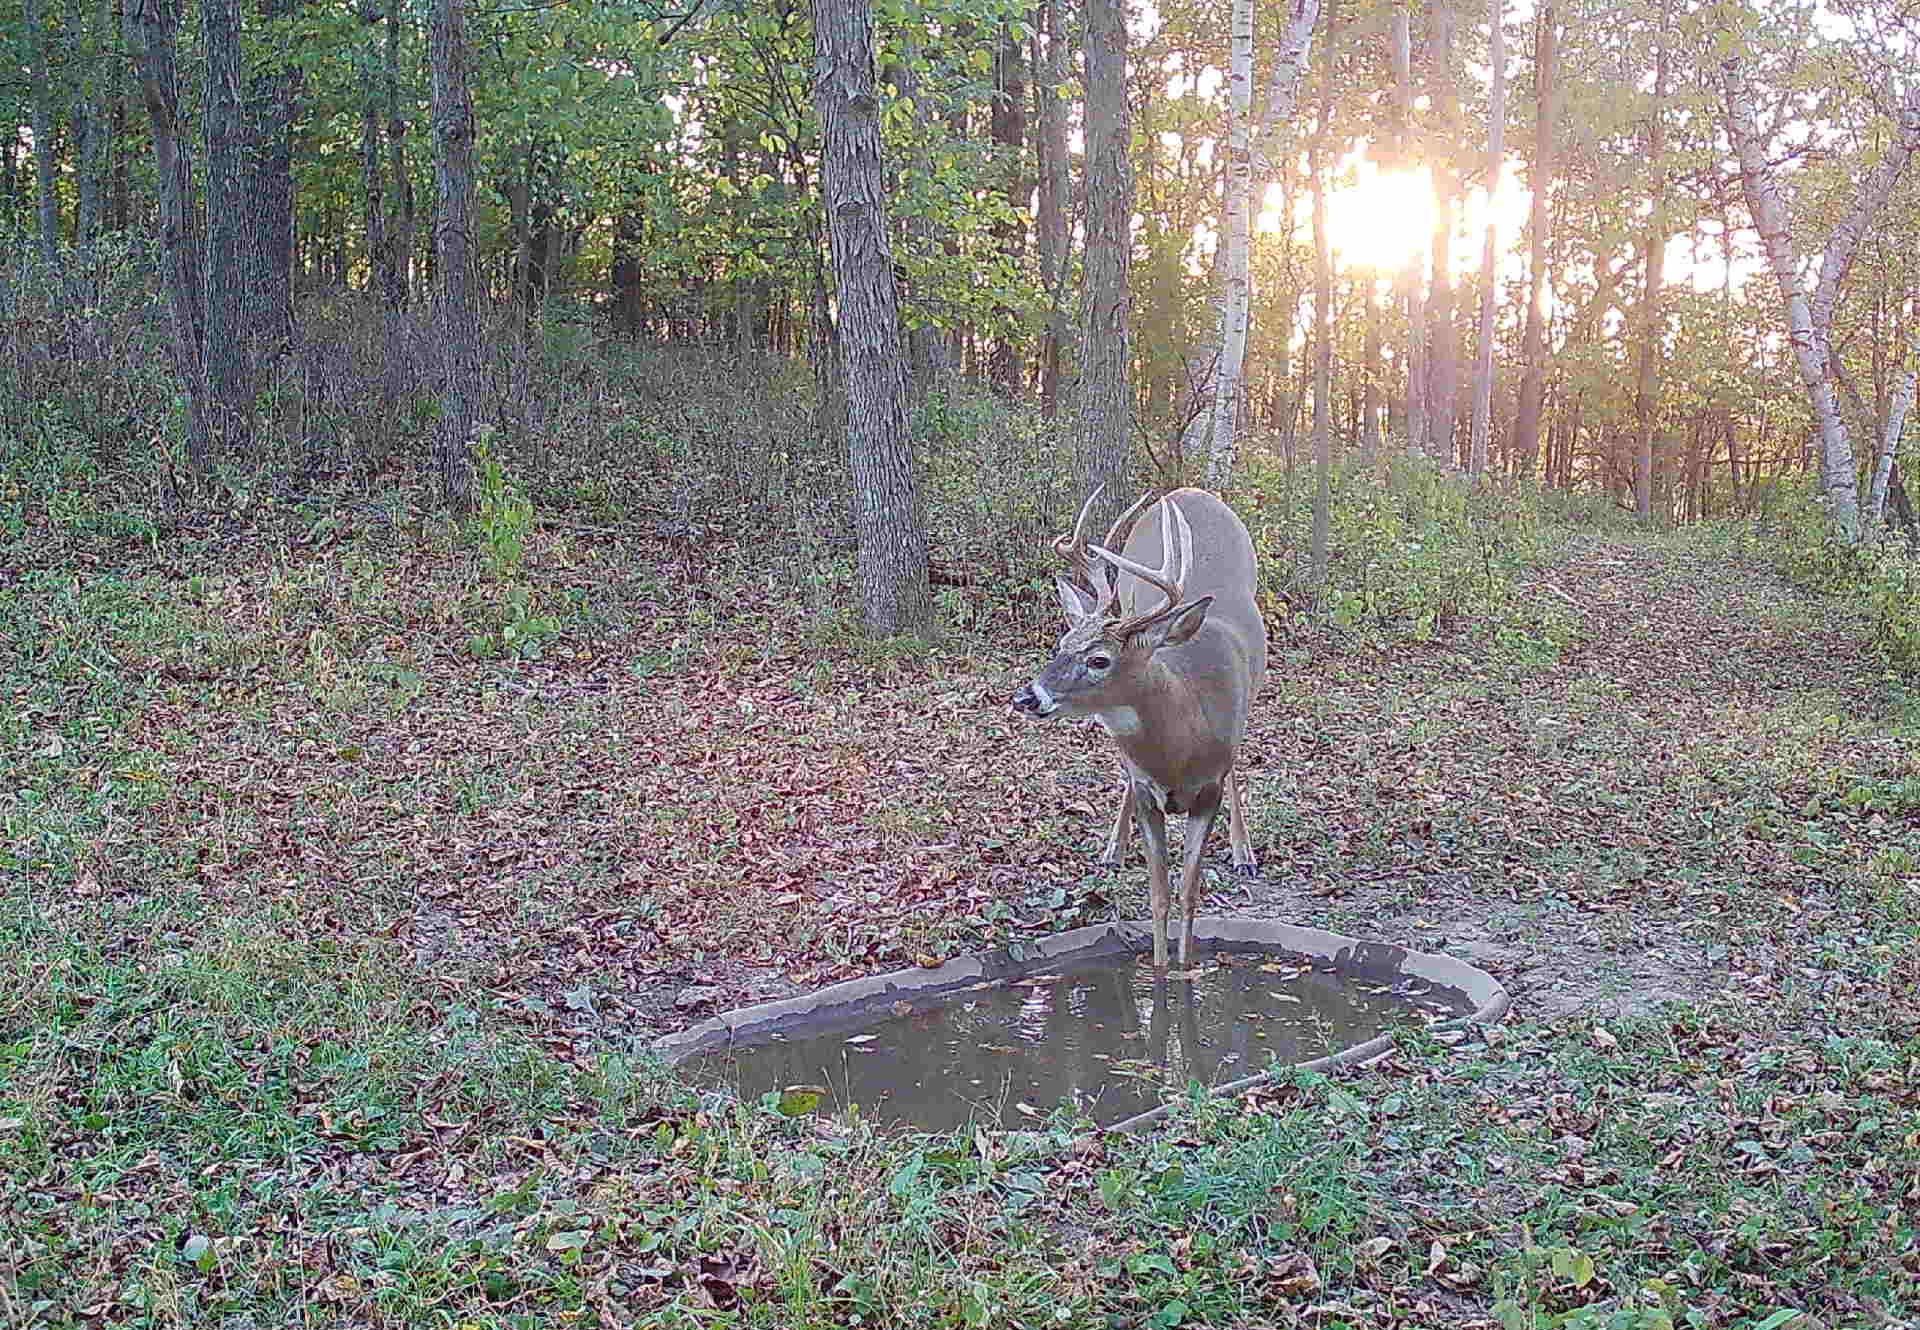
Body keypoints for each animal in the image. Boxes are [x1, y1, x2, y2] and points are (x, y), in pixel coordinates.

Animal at [1011, 486, 1267, 968]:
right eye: (1061, 644)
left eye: (1099, 659)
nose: (1026, 697)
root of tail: (1191, 490)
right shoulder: (1149, 794)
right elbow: (1159, 896)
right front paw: (1161, 968)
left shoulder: (1209, 790)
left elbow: (1188, 894)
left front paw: (1185, 967)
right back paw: (1113, 849)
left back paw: (1244, 852)